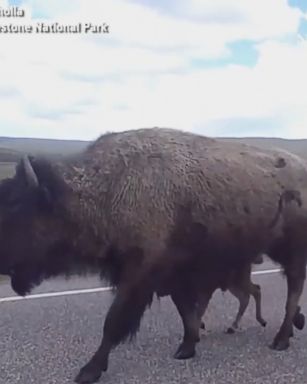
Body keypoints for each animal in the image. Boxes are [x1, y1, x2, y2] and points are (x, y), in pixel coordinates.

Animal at [0, 127, 307, 382]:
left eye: (16, 206)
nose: (2, 263)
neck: (108, 189)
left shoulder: (139, 276)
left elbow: (113, 323)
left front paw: (89, 370)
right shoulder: (173, 277)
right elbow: (186, 312)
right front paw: (187, 347)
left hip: (290, 252)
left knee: (293, 291)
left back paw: (281, 339)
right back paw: (292, 327)